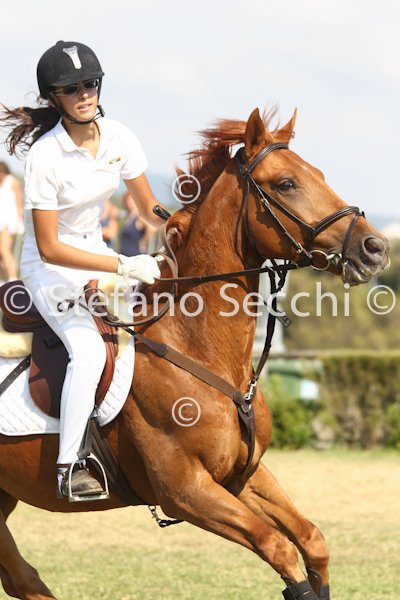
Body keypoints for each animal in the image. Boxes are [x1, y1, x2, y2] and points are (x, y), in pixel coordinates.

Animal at [0, 107, 389, 600]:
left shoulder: (240, 475)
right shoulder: (186, 491)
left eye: (318, 174)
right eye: (286, 184)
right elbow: (279, 548)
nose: (376, 248)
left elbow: (312, 541)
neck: (198, 349)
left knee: (20, 576)